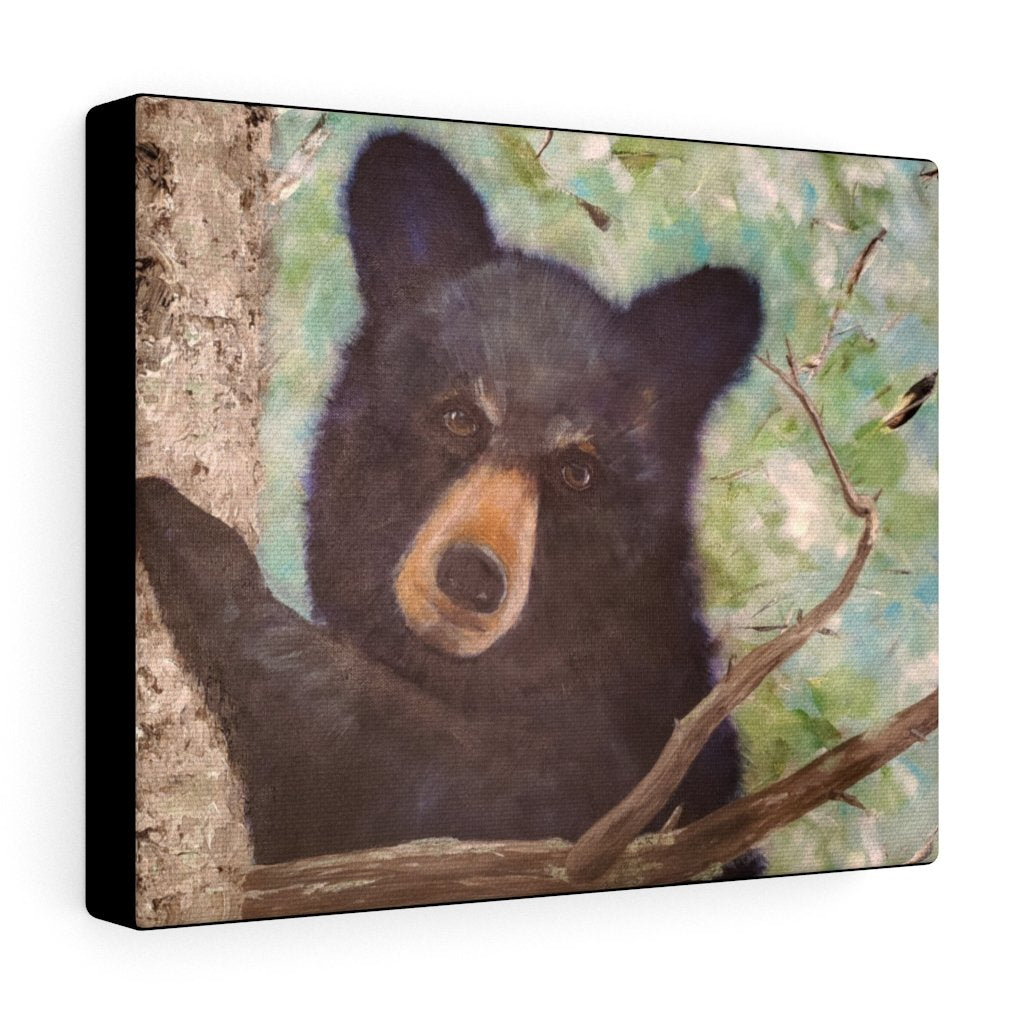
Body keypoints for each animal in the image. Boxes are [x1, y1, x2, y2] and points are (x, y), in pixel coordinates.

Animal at [136, 131, 764, 876]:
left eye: (576, 471)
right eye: (461, 417)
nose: (472, 577)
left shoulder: (627, 767)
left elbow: (453, 779)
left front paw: (183, 528)